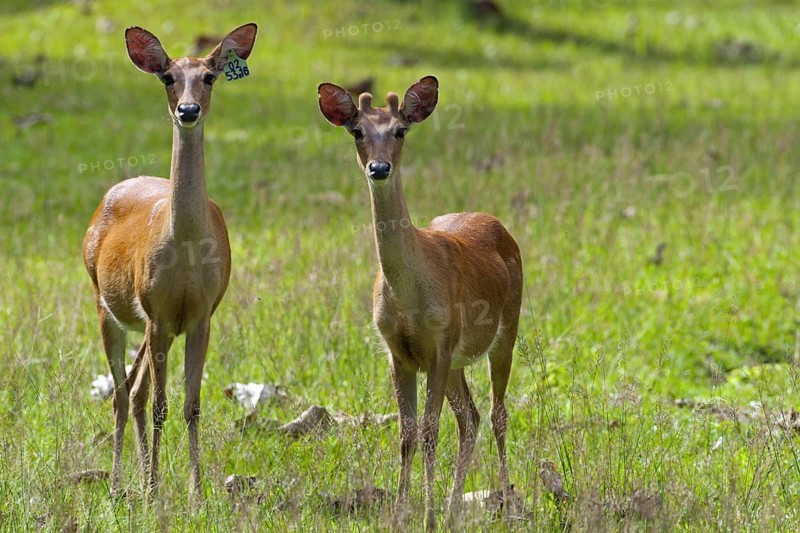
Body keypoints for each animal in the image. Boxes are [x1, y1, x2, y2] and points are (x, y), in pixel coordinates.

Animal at [82, 23, 257, 504]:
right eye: (167, 77)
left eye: (210, 77)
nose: (188, 109)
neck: (186, 253)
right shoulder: (158, 311)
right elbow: (160, 405)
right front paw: (154, 492)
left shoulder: (201, 315)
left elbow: (191, 405)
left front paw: (196, 493)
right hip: (108, 306)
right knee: (124, 395)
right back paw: (122, 484)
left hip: (146, 324)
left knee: (136, 389)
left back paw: (144, 478)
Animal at [318, 76, 523, 530]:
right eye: (356, 131)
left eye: (400, 131)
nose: (379, 169)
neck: (409, 296)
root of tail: (497, 223)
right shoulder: (399, 351)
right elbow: (407, 435)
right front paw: (401, 514)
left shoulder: (441, 342)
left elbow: (429, 432)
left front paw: (425, 516)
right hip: (456, 362)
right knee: (470, 418)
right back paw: (453, 508)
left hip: (506, 330)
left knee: (497, 415)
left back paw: (508, 506)